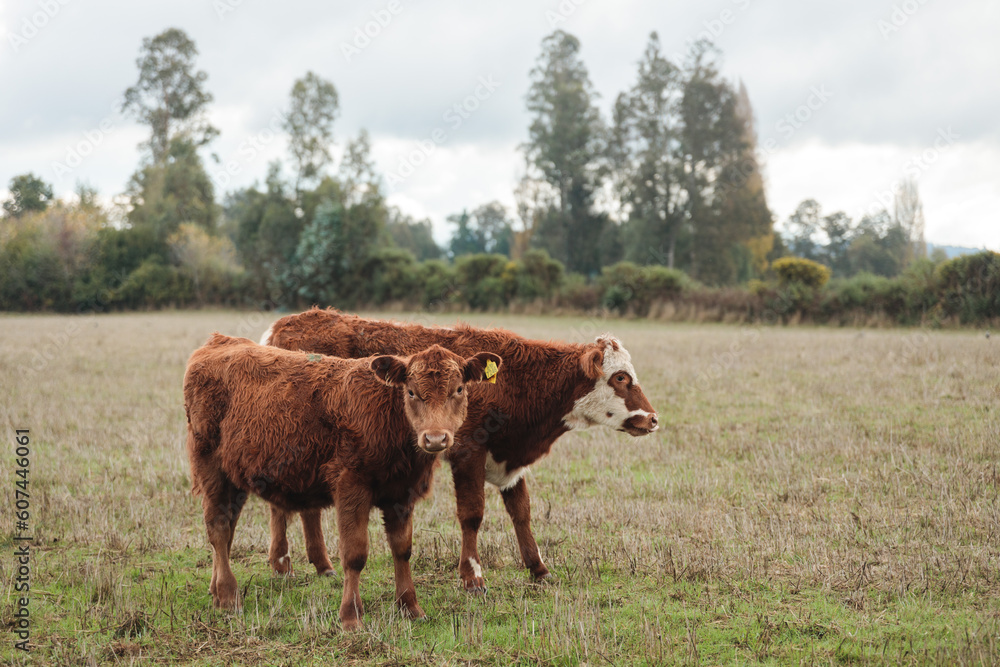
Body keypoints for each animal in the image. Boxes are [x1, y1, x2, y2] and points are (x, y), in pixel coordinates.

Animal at [183, 333, 502, 630]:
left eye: (458, 389)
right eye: (411, 392)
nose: (435, 438)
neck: (389, 415)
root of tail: (219, 342)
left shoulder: (402, 494)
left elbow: (402, 550)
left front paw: (410, 607)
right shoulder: (351, 487)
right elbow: (355, 554)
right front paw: (351, 616)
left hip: (234, 479)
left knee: (227, 528)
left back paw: (216, 590)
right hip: (211, 467)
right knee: (219, 528)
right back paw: (228, 596)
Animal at [260, 308, 658, 592]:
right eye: (620, 378)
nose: (652, 419)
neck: (515, 379)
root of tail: (281, 327)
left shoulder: (509, 459)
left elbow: (522, 512)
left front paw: (538, 568)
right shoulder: (469, 453)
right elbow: (472, 514)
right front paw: (472, 576)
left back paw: (320, 564)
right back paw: (283, 562)